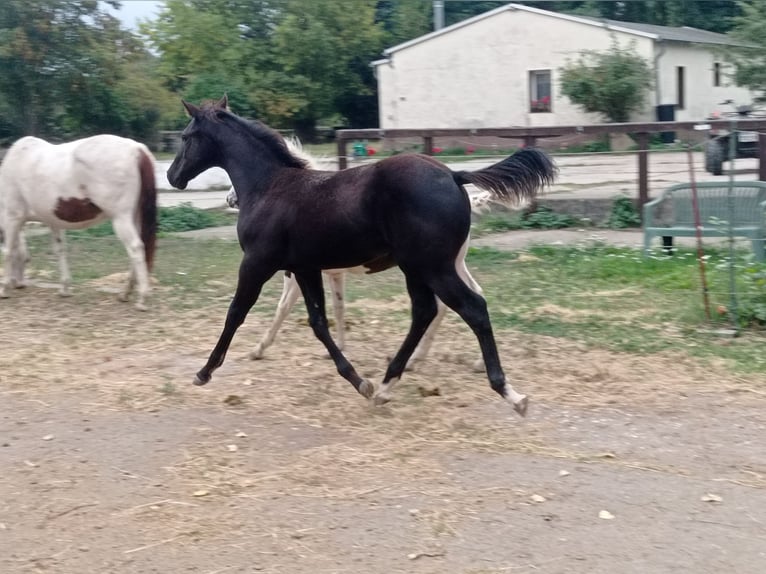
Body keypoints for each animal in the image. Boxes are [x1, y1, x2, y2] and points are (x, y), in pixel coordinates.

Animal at [0, 134, 158, 310]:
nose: (20, 284)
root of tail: (136, 149)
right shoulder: (54, 222)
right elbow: (60, 250)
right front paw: (64, 288)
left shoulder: (12, 217)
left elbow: (9, 251)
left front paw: (4, 289)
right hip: (134, 218)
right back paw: (125, 293)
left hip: (121, 219)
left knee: (135, 249)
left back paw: (142, 298)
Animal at [167, 95, 556, 416]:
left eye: (186, 137)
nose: (172, 176)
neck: (269, 186)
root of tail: (454, 175)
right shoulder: (306, 269)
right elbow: (319, 322)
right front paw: (358, 380)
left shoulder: (257, 263)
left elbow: (236, 313)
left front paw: (205, 371)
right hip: (420, 268)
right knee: (427, 311)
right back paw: (386, 385)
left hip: (431, 267)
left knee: (470, 308)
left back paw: (509, 393)